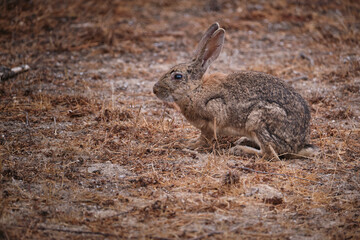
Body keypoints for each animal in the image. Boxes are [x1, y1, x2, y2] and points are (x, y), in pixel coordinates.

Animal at [153, 22, 316, 158]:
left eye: (177, 76)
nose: (155, 90)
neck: (195, 90)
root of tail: (298, 145)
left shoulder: (212, 118)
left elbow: (204, 138)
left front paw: (190, 145)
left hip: (258, 119)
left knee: (270, 154)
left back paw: (239, 150)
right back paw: (242, 141)